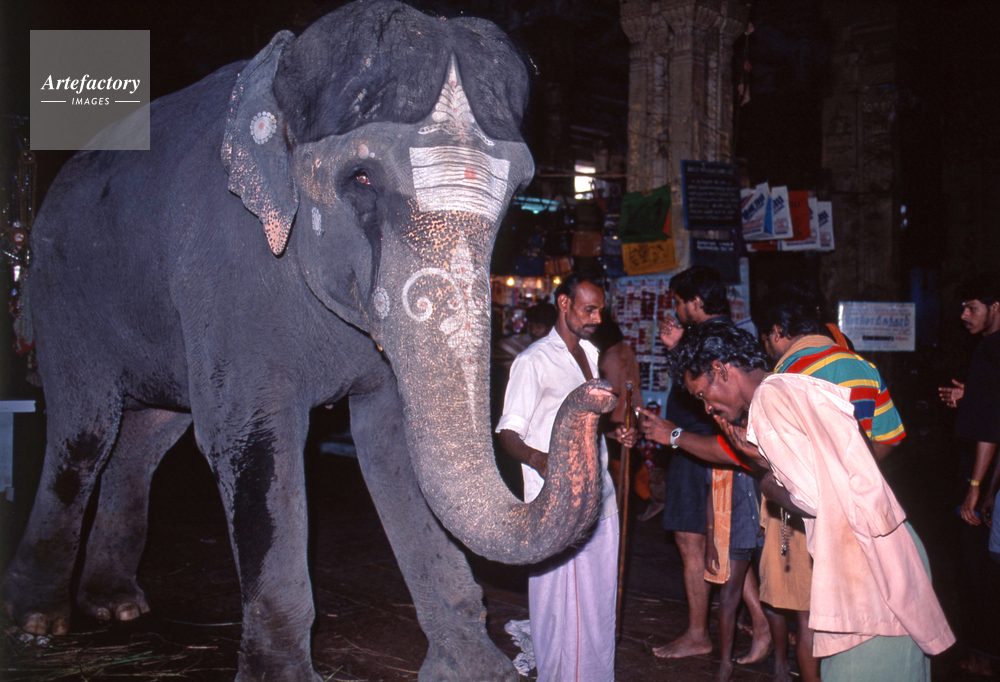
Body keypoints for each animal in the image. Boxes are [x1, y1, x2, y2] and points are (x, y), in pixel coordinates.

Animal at [1, 1, 617, 681]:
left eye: (518, 190)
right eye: (362, 177)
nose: (601, 394)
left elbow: (389, 440)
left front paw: (478, 669)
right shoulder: (224, 267)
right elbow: (251, 440)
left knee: (145, 438)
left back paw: (116, 606)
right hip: (60, 293)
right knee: (86, 431)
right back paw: (38, 619)